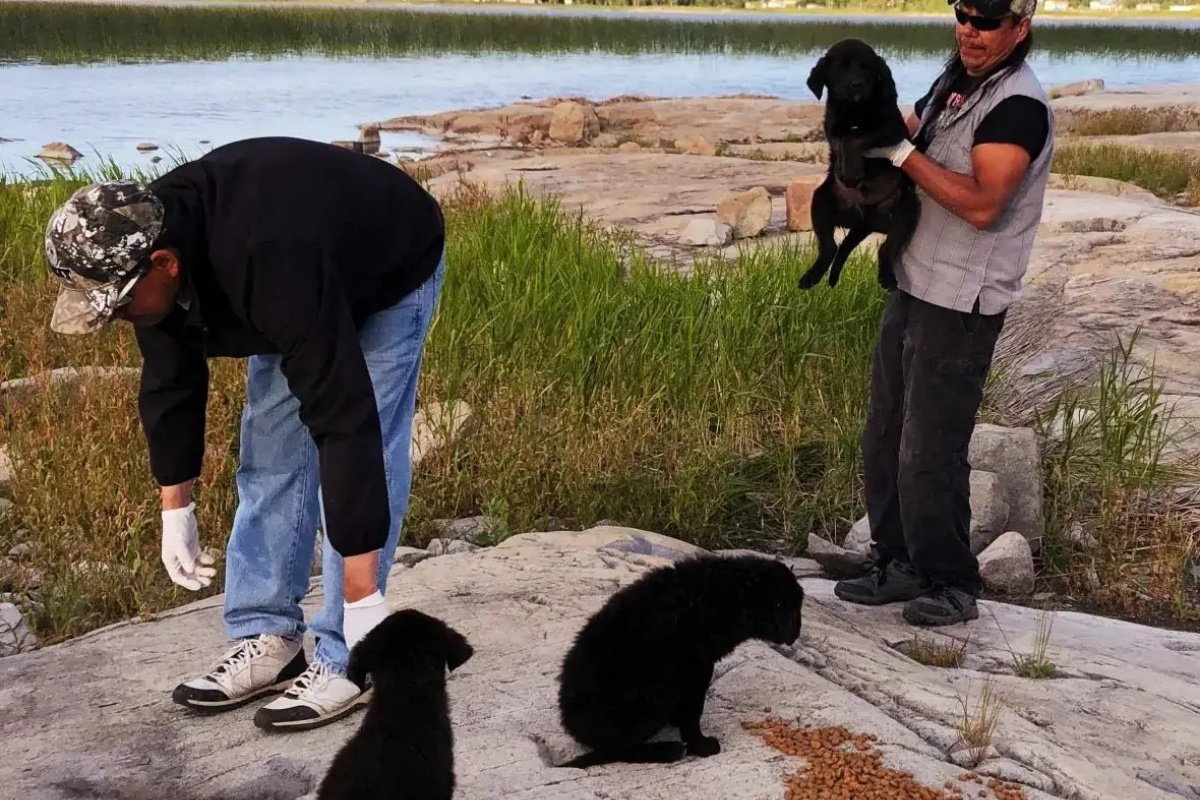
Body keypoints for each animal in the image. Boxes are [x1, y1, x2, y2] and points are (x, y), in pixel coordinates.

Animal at [554, 551, 801, 767]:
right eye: (779, 604)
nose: (796, 632)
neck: (726, 597)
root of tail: (571, 724)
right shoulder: (696, 668)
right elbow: (693, 713)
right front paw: (701, 745)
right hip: (653, 694)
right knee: (616, 748)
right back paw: (667, 750)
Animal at [801, 37, 921, 292]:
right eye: (843, 66)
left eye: (867, 67)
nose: (857, 85)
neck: (855, 109)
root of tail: (865, 218)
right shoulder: (833, 125)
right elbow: (844, 138)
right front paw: (846, 168)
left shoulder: (891, 127)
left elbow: (856, 137)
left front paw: (852, 169)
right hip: (821, 200)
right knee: (829, 247)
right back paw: (811, 277)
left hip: (907, 208)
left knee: (885, 249)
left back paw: (887, 278)